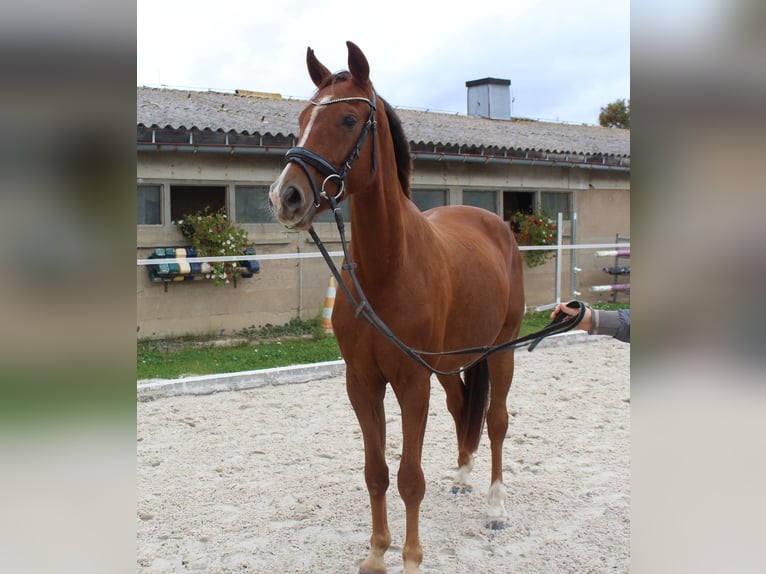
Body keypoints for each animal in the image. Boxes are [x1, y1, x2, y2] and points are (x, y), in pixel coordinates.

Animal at [269, 41, 524, 574]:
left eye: (348, 119)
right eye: (302, 117)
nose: (286, 197)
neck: (387, 269)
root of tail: (497, 225)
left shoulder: (411, 383)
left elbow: (409, 477)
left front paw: (410, 557)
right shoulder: (363, 383)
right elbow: (376, 471)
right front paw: (375, 552)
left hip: (503, 349)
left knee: (496, 420)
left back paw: (495, 507)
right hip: (453, 362)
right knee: (461, 407)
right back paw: (462, 477)